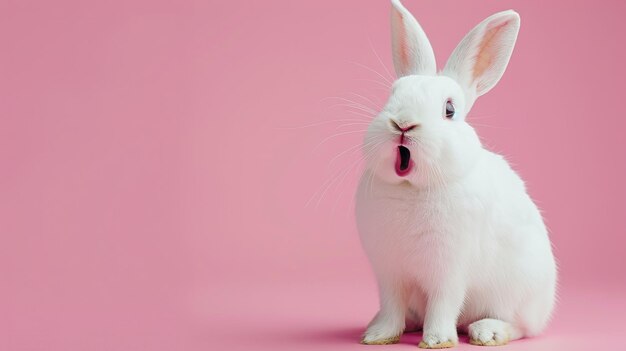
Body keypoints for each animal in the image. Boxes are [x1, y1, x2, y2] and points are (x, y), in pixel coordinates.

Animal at [356, 0, 556, 348]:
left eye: (449, 110)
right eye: (391, 96)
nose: (403, 124)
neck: (411, 188)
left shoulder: (449, 269)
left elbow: (443, 303)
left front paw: (437, 340)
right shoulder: (389, 273)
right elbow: (391, 305)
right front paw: (379, 335)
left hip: (519, 295)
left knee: (521, 327)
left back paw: (487, 332)